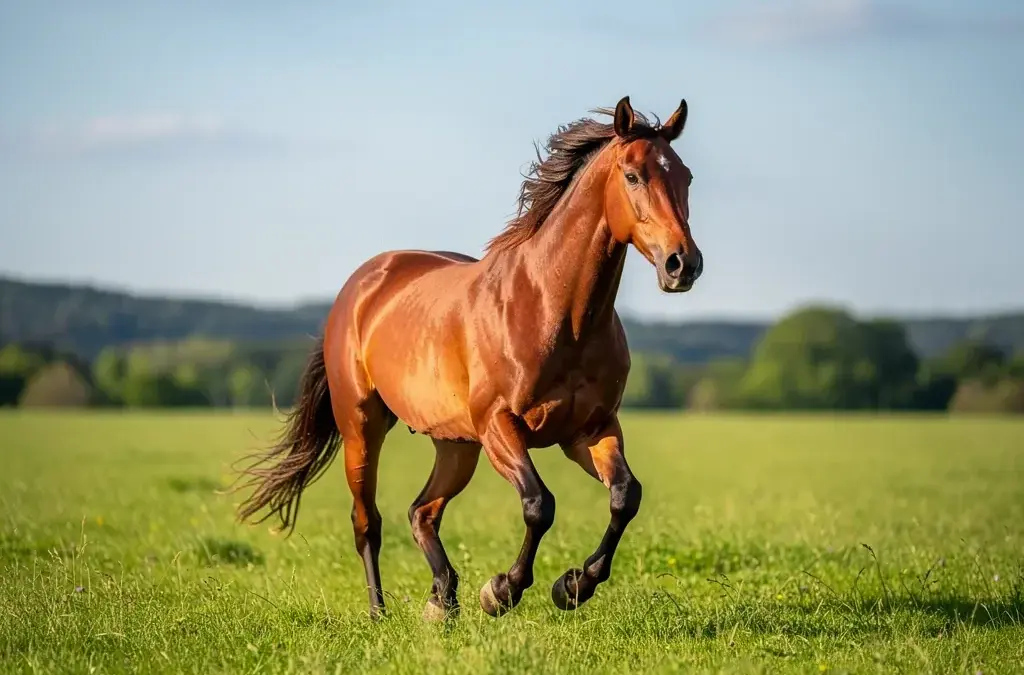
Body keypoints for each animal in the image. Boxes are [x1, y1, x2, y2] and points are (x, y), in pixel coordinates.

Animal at [233, 95, 704, 621]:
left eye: (685, 176)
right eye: (633, 175)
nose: (683, 264)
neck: (554, 310)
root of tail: (359, 286)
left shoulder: (590, 429)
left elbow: (625, 496)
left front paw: (573, 586)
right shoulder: (500, 425)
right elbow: (539, 504)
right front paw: (502, 591)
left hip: (456, 444)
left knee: (422, 511)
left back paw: (442, 600)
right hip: (363, 426)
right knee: (367, 521)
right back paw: (381, 612)